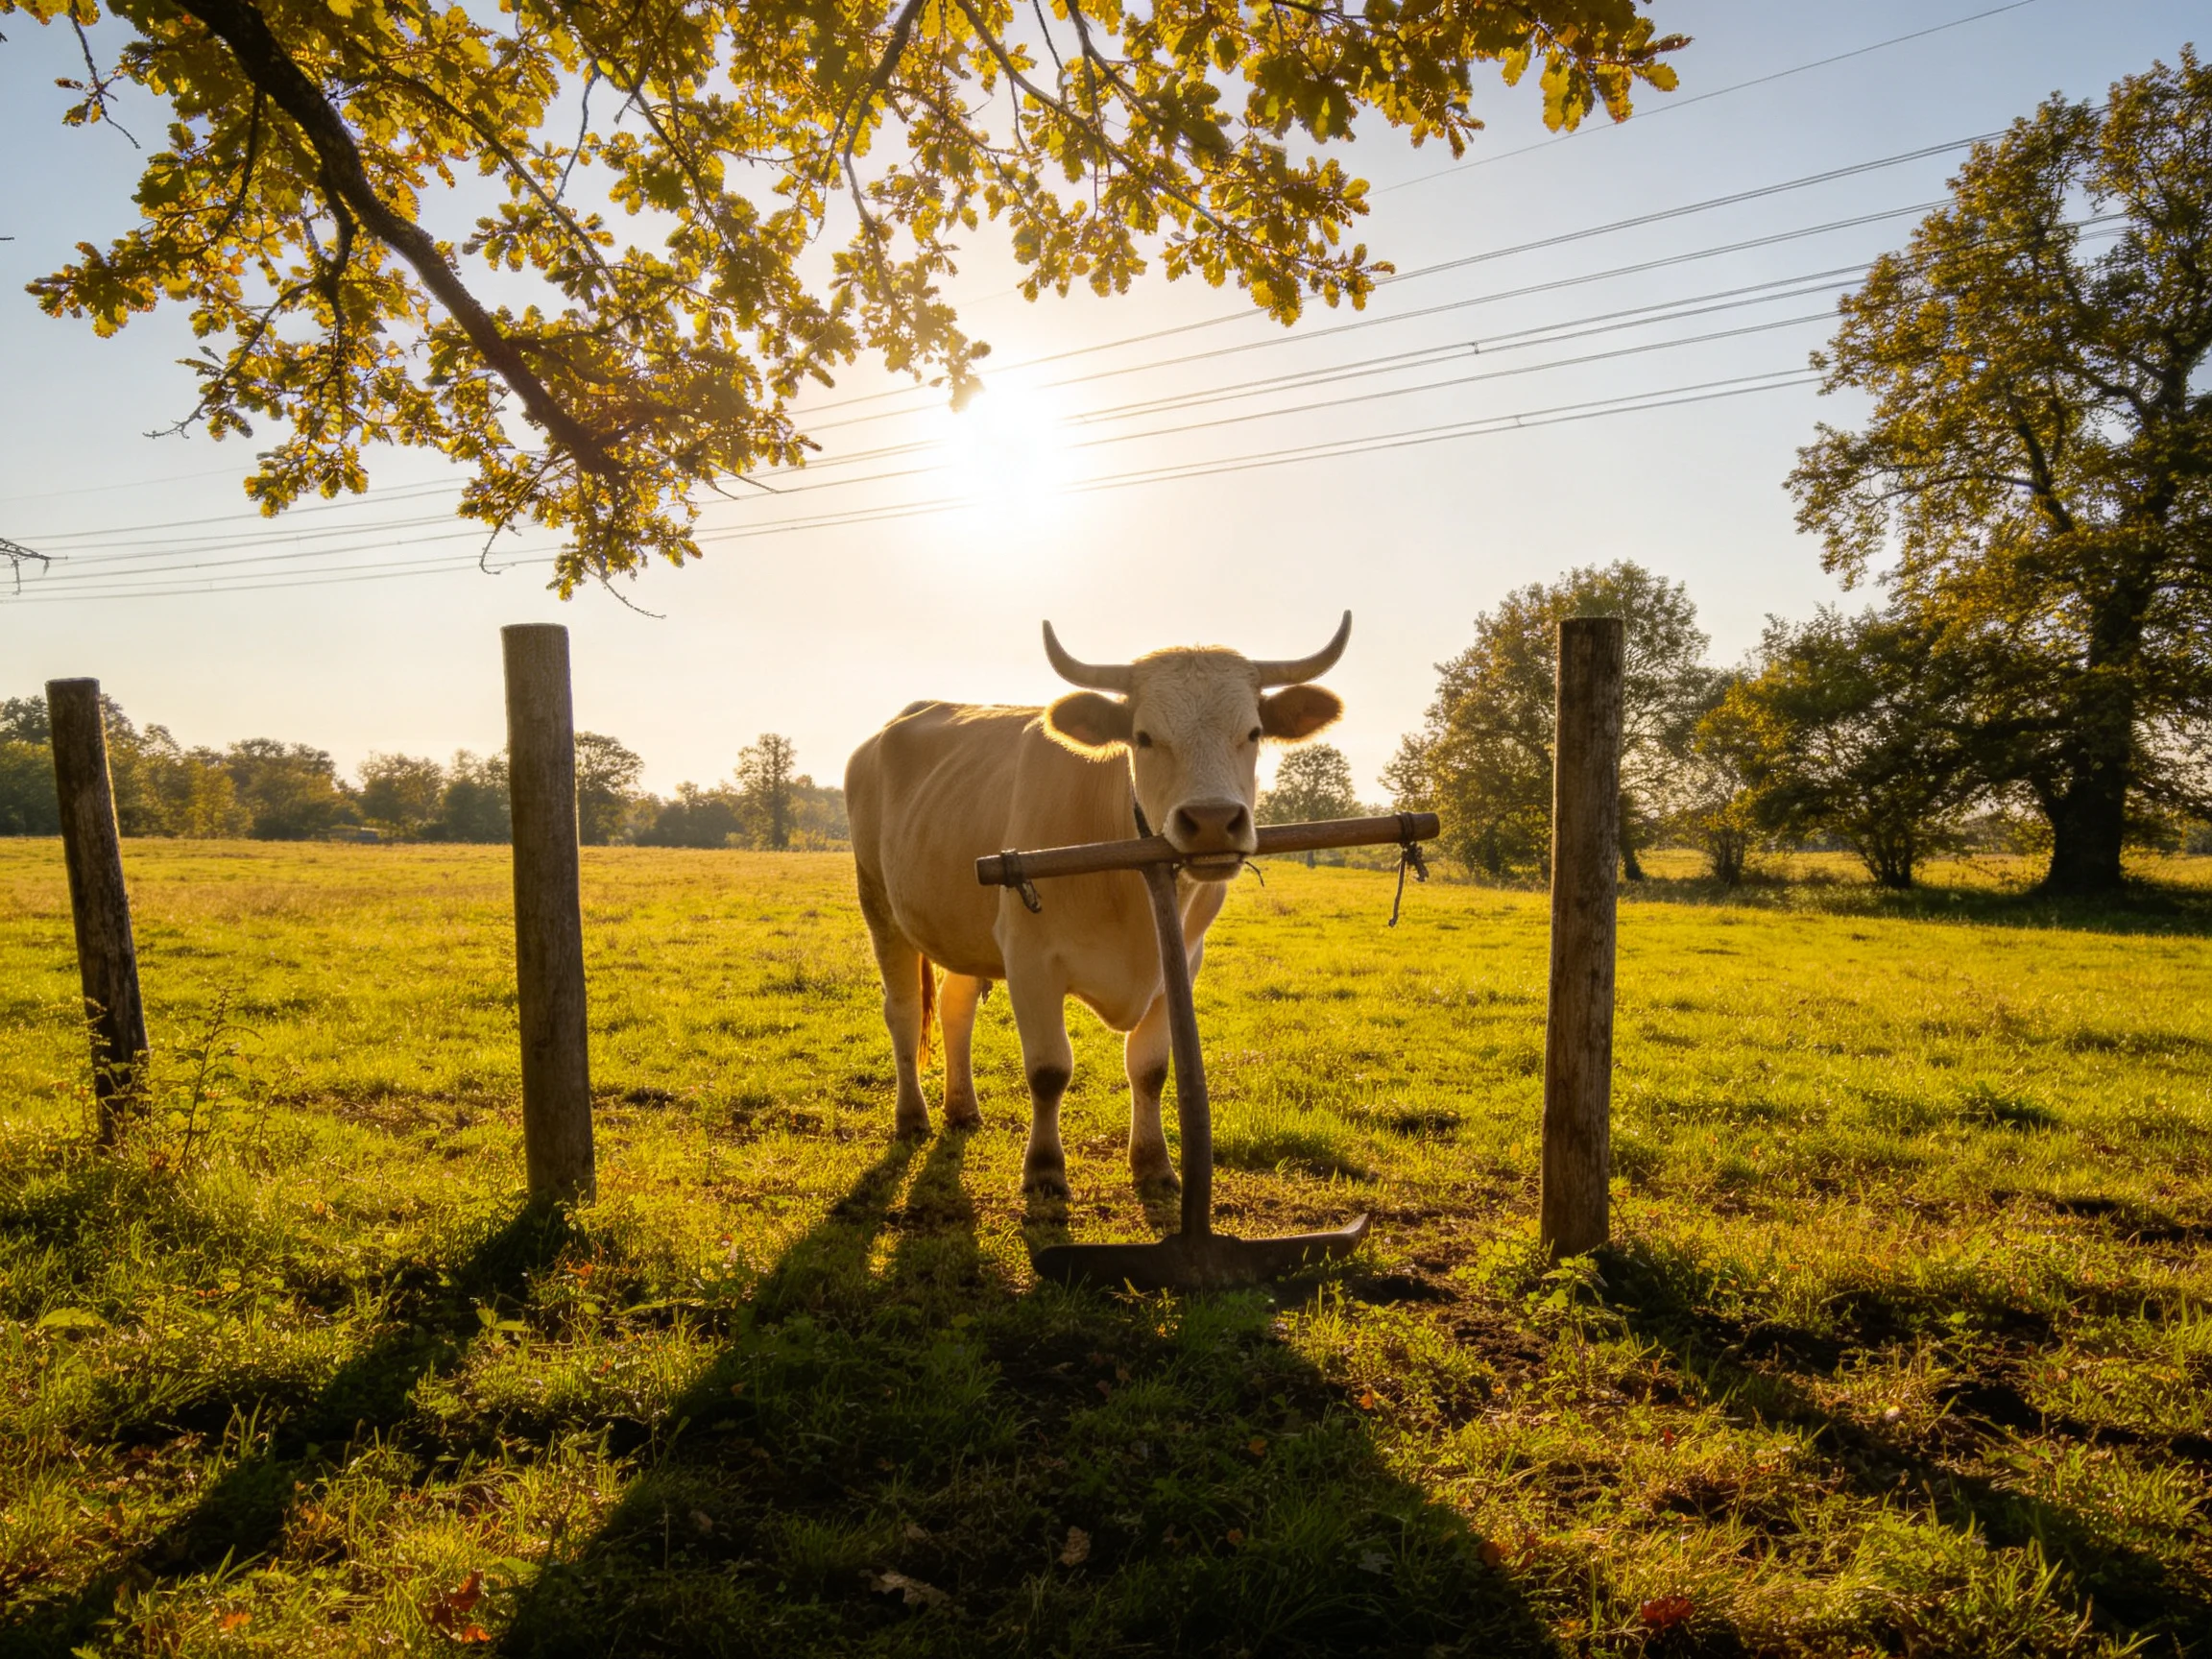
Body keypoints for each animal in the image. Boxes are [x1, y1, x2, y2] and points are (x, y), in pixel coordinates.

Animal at [844, 614, 1351, 1196]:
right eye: (1144, 737)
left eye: (1253, 733)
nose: (1212, 822)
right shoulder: (1030, 960)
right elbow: (1048, 1071)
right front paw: (1044, 1169)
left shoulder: (1181, 963)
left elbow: (1150, 1069)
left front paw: (1154, 1163)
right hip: (879, 904)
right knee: (903, 1010)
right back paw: (912, 1117)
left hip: (960, 926)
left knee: (956, 1005)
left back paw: (963, 1109)